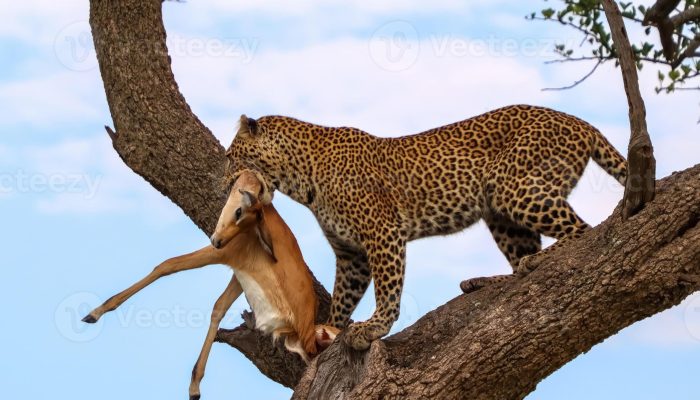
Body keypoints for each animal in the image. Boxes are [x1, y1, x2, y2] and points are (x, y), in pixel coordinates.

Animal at [224, 104, 627, 350]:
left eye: (231, 157)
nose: (225, 180)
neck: (300, 176)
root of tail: (580, 123)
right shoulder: (351, 254)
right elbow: (343, 296)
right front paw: (328, 333)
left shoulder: (383, 232)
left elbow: (388, 289)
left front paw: (374, 327)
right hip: (502, 215)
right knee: (524, 257)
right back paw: (487, 280)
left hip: (515, 188)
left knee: (583, 231)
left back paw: (540, 260)